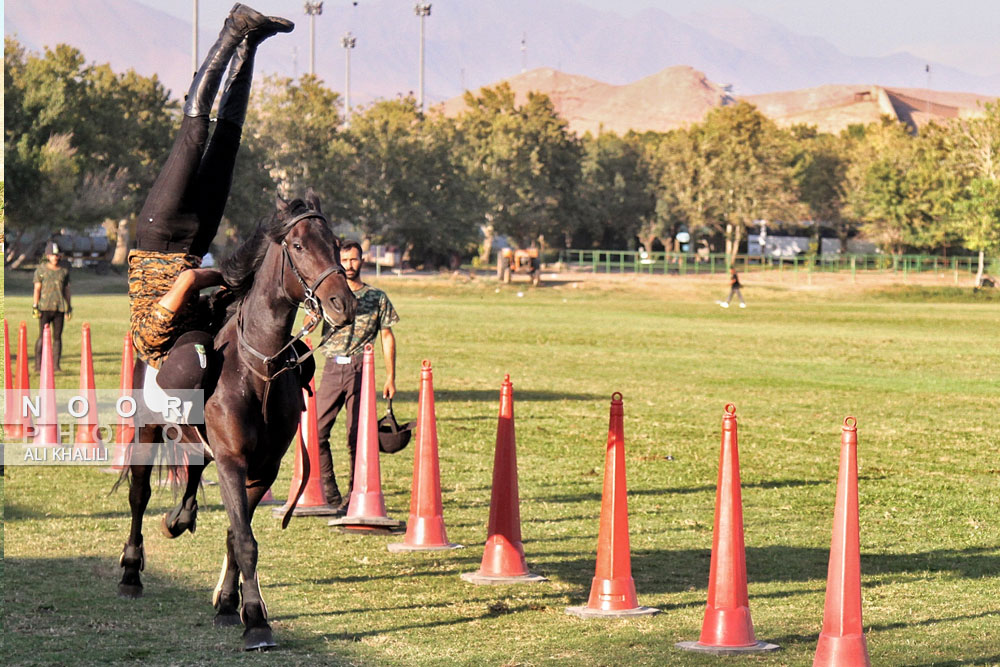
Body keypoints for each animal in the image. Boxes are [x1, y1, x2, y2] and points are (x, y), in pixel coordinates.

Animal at [116, 190, 356, 648]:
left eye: (336, 245)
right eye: (299, 246)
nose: (344, 304)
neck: (255, 369)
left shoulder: (262, 469)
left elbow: (234, 533)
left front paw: (230, 605)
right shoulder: (232, 461)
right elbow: (244, 540)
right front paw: (257, 621)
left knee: (193, 472)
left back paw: (180, 519)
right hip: (147, 430)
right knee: (139, 495)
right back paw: (131, 573)